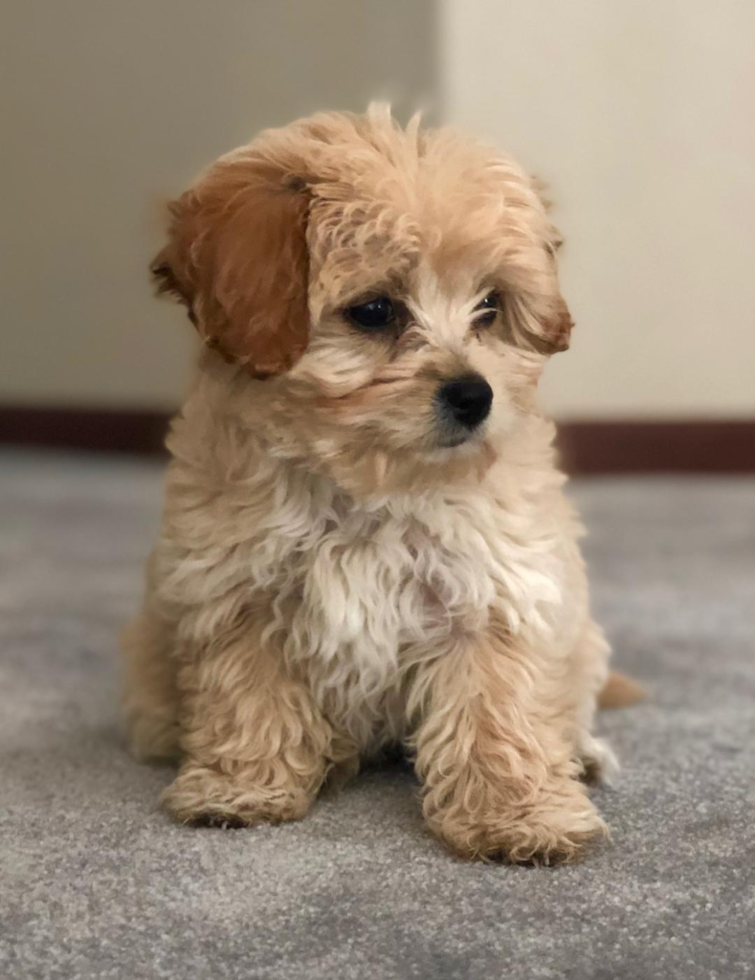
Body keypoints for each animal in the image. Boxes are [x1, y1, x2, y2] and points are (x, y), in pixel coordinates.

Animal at [124, 103, 620, 860]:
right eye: (375, 311)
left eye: (489, 307)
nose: (475, 397)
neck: (371, 485)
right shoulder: (235, 589)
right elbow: (248, 692)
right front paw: (242, 787)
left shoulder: (493, 592)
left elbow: (497, 711)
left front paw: (516, 815)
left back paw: (583, 754)